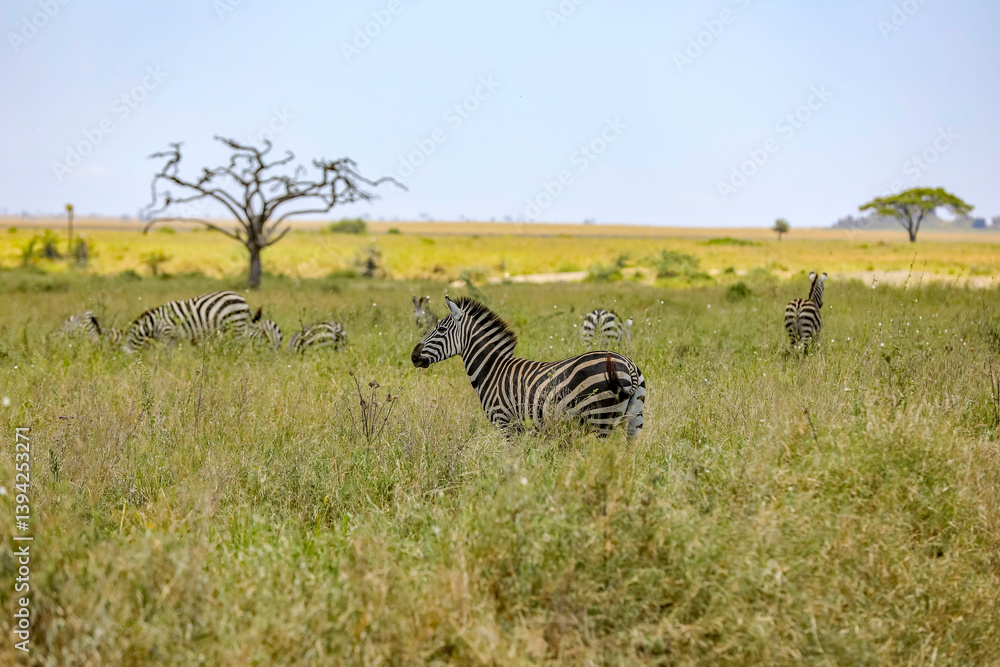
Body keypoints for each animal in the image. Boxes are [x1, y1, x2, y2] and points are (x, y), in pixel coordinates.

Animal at [120, 290, 252, 353]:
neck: (152, 325)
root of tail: (242, 298)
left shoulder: (167, 333)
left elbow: (166, 354)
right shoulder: (172, 338)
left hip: (237, 323)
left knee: (240, 344)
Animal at [411, 296, 646, 440]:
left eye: (441, 329)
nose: (413, 356)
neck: (492, 370)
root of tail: (629, 364)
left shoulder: (504, 423)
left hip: (601, 419)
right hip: (634, 420)